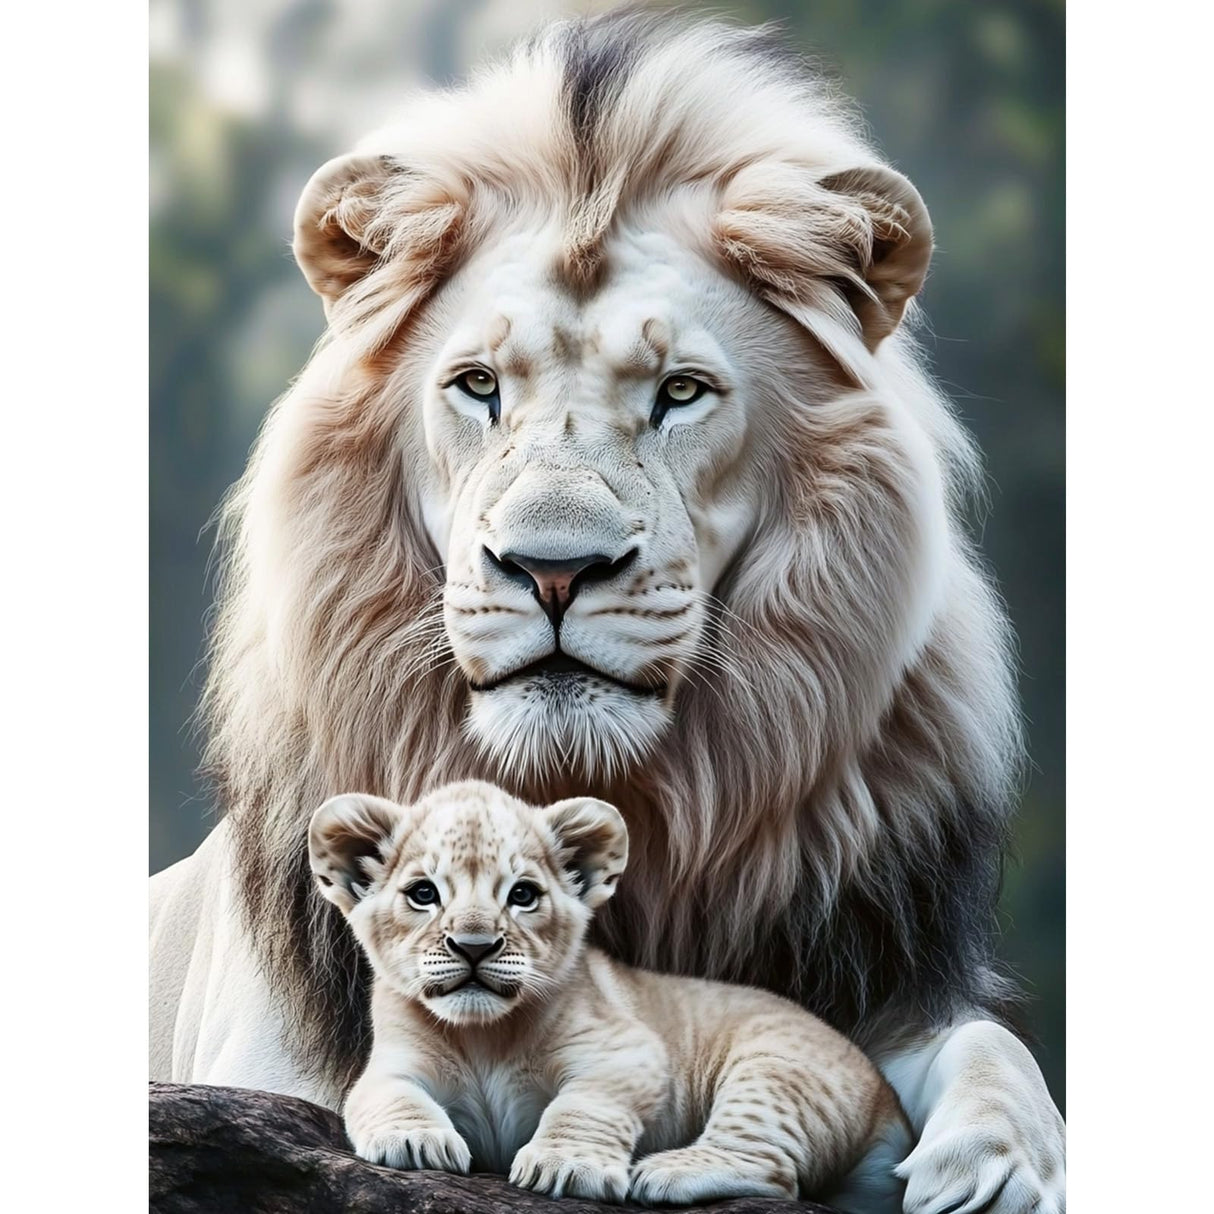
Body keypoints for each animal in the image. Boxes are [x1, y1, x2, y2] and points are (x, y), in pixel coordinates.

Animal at [309, 780, 911, 1210]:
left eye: (522, 895)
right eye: (423, 893)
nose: (475, 946)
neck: (486, 1035)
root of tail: (892, 1102)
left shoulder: (632, 1052)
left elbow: (585, 1103)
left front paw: (565, 1166)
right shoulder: (393, 1062)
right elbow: (384, 1095)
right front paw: (416, 1143)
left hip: (776, 1070)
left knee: (774, 1171)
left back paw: (665, 1172)